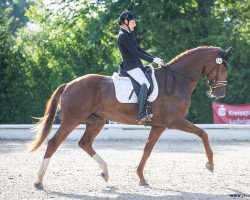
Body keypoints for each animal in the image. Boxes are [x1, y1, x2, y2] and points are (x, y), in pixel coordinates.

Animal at [29, 46, 232, 188]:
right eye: (222, 68)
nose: (220, 93)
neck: (177, 79)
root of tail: (69, 84)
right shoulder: (174, 121)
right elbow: (203, 133)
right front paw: (210, 164)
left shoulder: (158, 125)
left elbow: (147, 150)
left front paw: (141, 177)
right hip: (72, 120)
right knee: (54, 143)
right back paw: (39, 181)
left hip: (96, 121)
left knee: (85, 143)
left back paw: (105, 172)